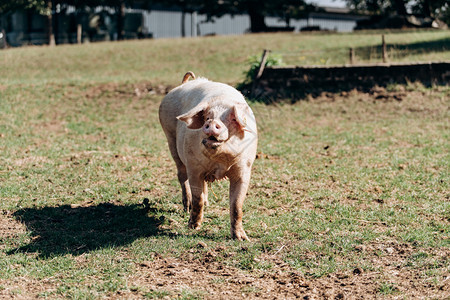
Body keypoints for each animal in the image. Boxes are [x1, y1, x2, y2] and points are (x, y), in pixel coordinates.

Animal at [158, 71, 256, 240]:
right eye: (208, 117)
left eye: (232, 118)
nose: (211, 124)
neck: (219, 160)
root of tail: (183, 84)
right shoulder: (193, 167)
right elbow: (197, 199)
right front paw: (193, 227)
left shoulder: (244, 169)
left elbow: (237, 205)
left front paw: (242, 238)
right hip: (170, 139)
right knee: (182, 176)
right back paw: (187, 207)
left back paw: (208, 204)